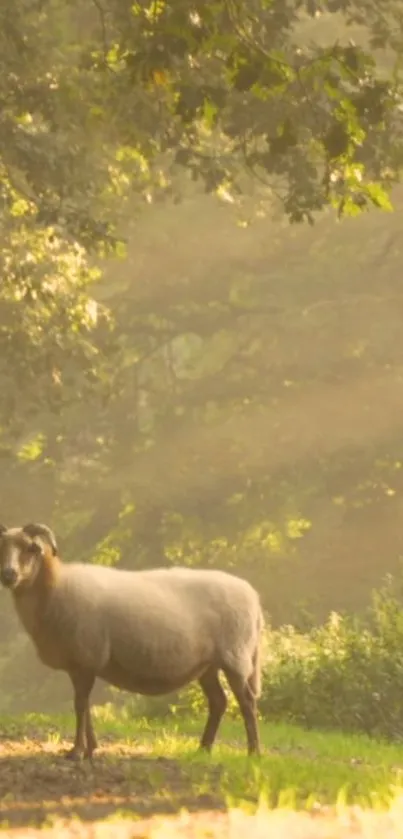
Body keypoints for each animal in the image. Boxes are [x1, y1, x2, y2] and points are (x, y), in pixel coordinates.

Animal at [0, 520, 266, 756]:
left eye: (29, 548)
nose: (8, 575)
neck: (54, 586)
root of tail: (253, 596)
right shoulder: (82, 664)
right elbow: (85, 706)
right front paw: (91, 748)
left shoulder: (86, 658)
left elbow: (80, 706)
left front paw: (77, 751)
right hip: (207, 665)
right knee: (219, 702)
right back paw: (203, 749)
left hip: (235, 657)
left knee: (247, 702)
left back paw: (254, 752)